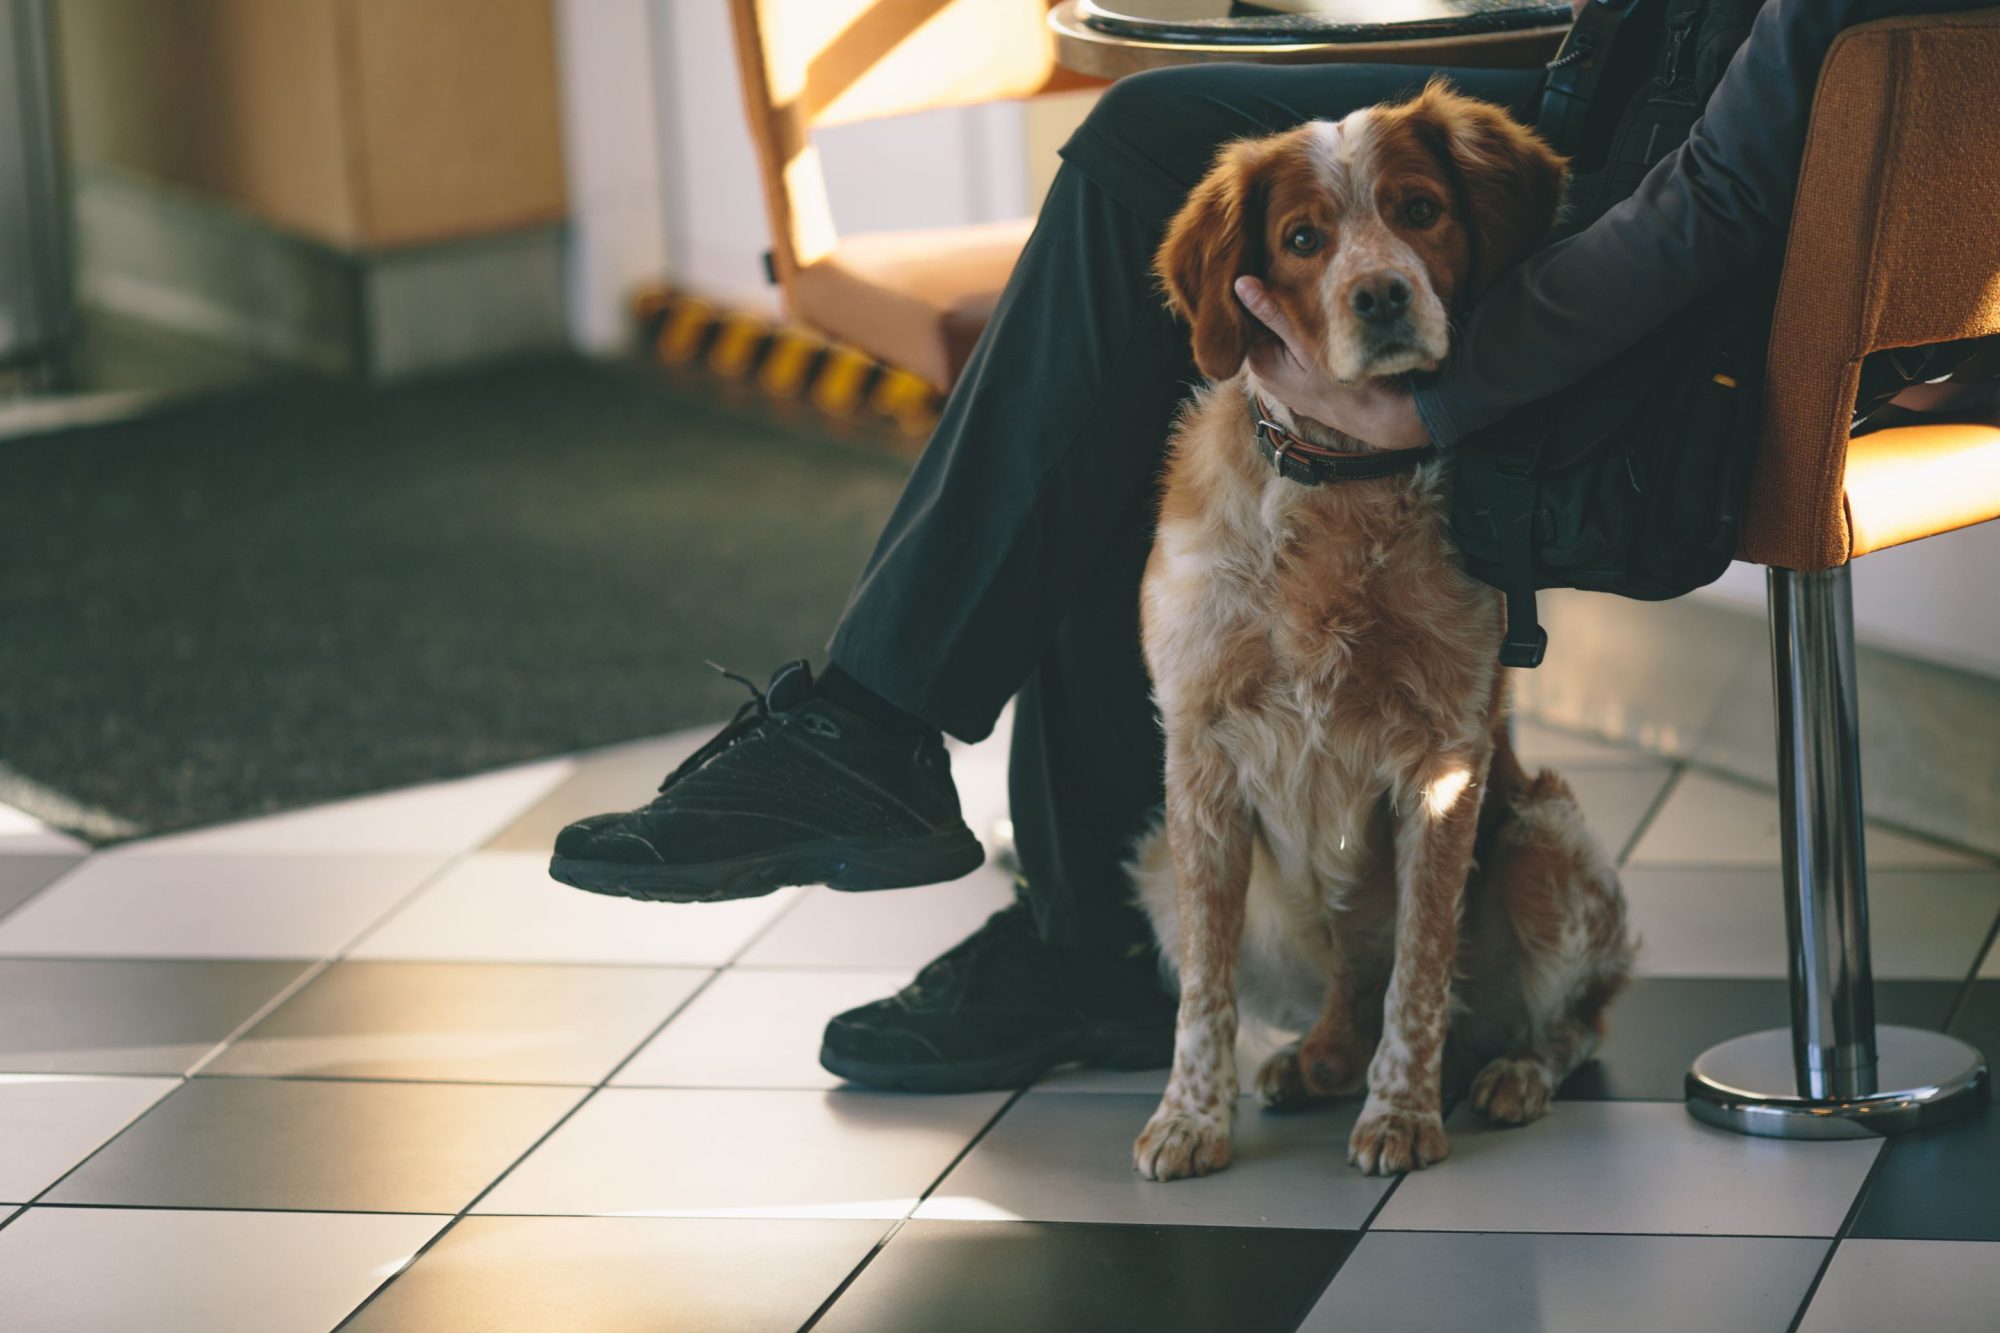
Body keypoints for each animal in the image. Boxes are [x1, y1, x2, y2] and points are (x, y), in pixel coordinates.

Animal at [1136, 85, 1632, 1176]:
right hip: (1164, 865)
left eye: (1417, 210)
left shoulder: (1444, 762)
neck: (1341, 485)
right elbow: (1203, 992)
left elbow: (1418, 966)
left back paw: (1508, 1070)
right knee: (1336, 993)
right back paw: (1315, 1055)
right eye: (1302, 238)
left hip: (1546, 840)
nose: (1379, 297)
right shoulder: (1198, 757)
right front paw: (1190, 1116)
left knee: (1574, 1022)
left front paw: (1401, 1112)